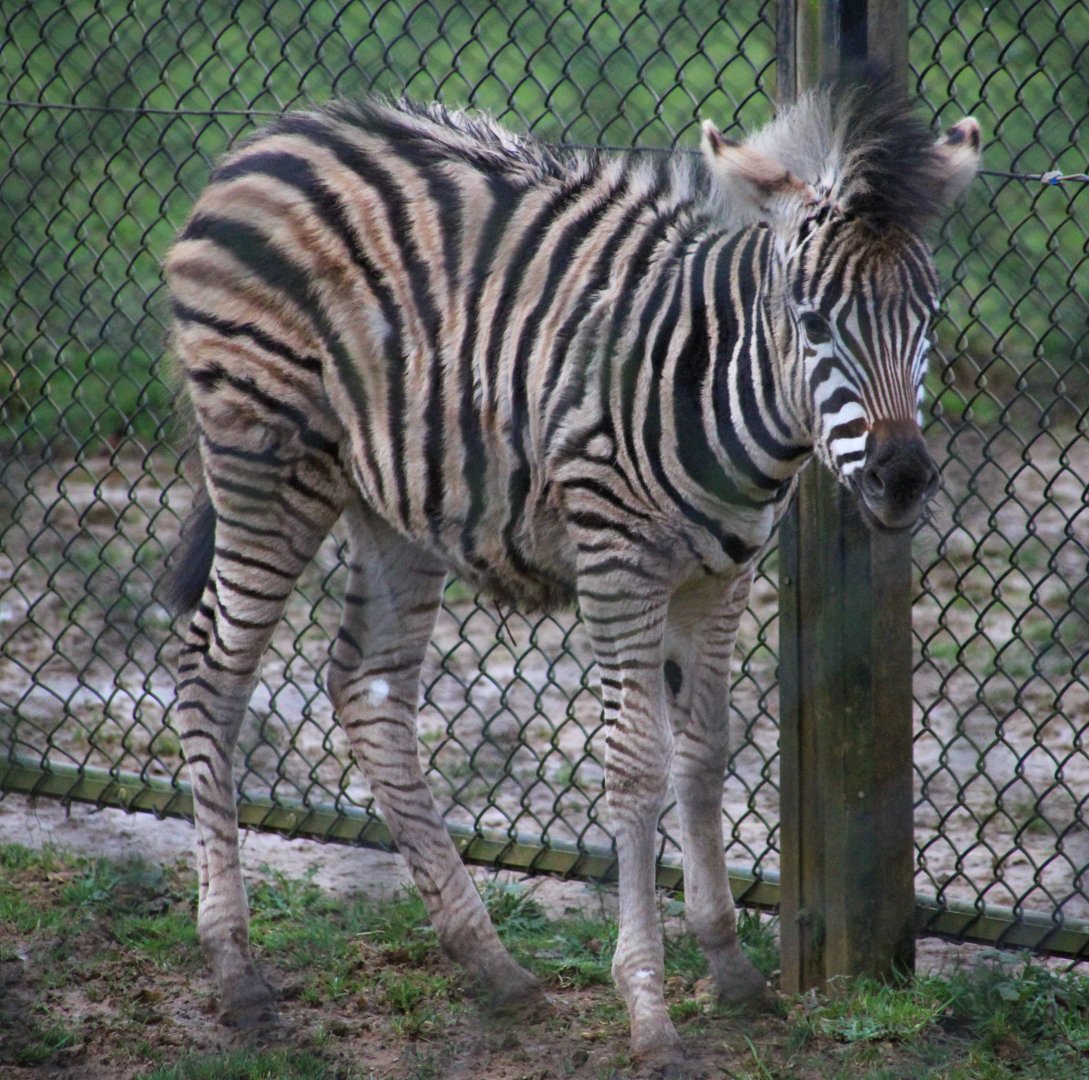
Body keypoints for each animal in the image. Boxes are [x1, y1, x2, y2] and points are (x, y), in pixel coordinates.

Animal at [162, 70, 979, 1064]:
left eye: (927, 316)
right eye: (815, 321)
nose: (902, 480)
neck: (714, 382)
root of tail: (269, 138)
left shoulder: (724, 577)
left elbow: (705, 754)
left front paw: (731, 972)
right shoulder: (617, 566)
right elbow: (636, 767)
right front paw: (649, 1012)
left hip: (393, 505)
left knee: (367, 688)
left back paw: (490, 964)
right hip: (266, 462)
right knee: (213, 673)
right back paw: (235, 969)